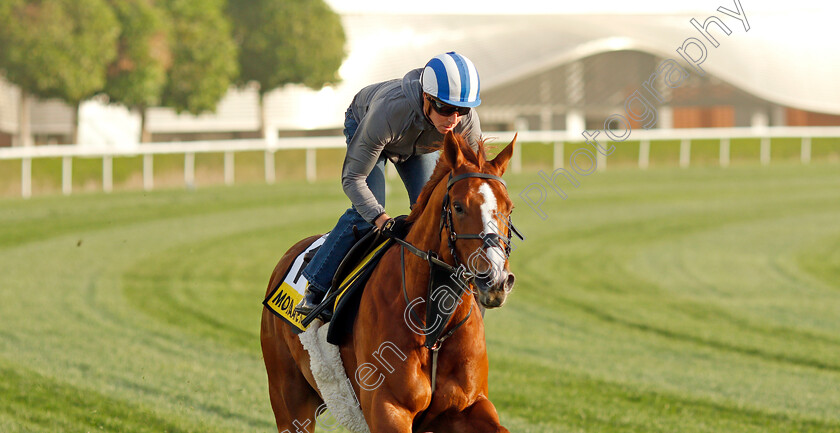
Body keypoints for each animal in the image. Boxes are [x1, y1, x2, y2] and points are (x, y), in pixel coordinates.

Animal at [260, 131, 520, 432]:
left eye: (509, 207)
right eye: (458, 207)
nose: (496, 279)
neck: (433, 327)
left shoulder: (467, 405)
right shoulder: (387, 408)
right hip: (290, 400)